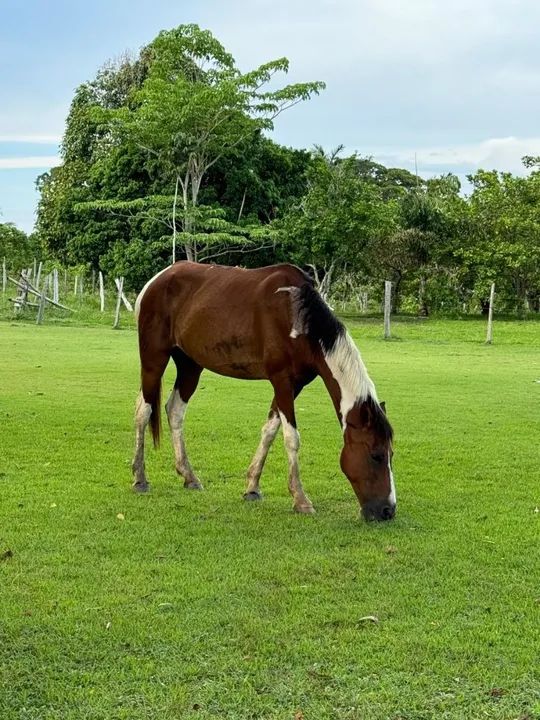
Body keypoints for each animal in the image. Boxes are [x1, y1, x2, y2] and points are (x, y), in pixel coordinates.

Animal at [132, 261, 396, 521]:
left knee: (175, 411)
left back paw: (189, 476)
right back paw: (140, 478)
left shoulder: (295, 385)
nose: (388, 511)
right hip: (154, 359)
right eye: (376, 455)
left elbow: (270, 430)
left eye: (391, 454)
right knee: (143, 411)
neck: (297, 315)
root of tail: (157, 280)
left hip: (190, 365)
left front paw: (252, 487)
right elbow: (291, 438)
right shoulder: (282, 381)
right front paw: (300, 499)